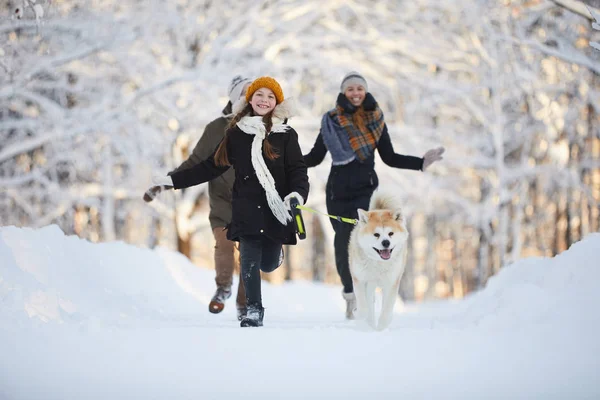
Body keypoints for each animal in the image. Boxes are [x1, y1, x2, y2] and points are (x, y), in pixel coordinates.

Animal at [350, 191, 410, 332]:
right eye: (376, 234)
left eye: (391, 233)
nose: (386, 242)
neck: (378, 264)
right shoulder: (360, 280)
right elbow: (364, 307)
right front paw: (358, 314)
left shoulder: (391, 283)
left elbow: (387, 309)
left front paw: (382, 327)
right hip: (369, 285)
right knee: (369, 306)